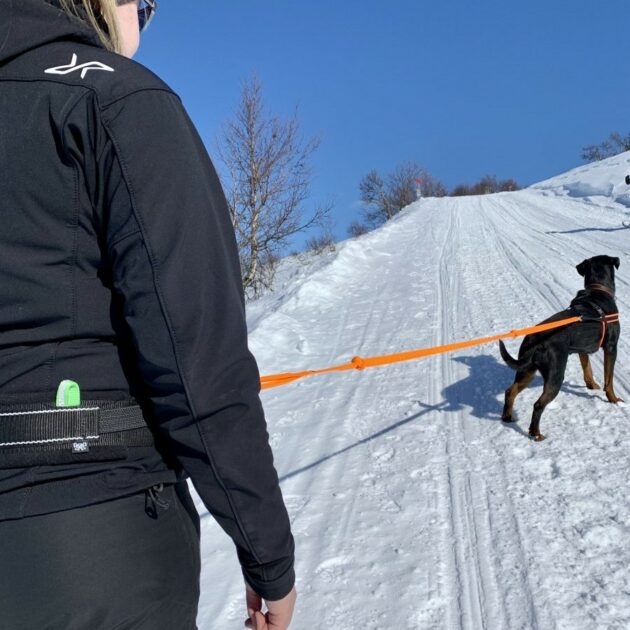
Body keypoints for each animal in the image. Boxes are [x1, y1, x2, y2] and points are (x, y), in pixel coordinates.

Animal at [502, 254, 624, 442]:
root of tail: (537, 341)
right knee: (538, 404)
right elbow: (608, 379)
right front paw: (614, 399)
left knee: (510, 390)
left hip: (527, 369)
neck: (598, 290)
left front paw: (591, 385)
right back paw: (536, 433)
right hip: (555, 373)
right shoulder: (611, 347)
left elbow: (587, 369)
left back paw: (507, 417)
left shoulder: (582, 349)